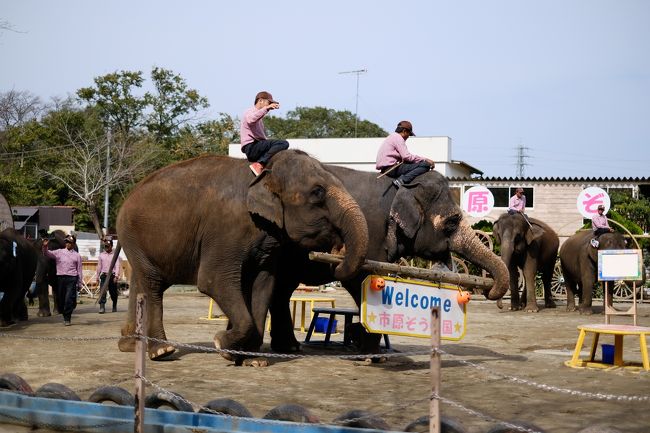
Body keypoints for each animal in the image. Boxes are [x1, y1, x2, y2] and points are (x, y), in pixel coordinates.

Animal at [114, 148, 368, 362]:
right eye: (317, 192)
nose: (338, 249)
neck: (264, 172)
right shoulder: (225, 229)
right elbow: (213, 281)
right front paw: (221, 344)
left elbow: (263, 285)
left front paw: (251, 360)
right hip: (133, 235)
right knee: (153, 284)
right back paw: (161, 351)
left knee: (140, 282)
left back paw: (131, 345)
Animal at [266, 167, 508, 352]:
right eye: (452, 222)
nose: (488, 288)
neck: (401, 187)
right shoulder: (370, 234)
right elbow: (362, 280)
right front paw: (371, 353)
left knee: (282, 289)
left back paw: (289, 347)